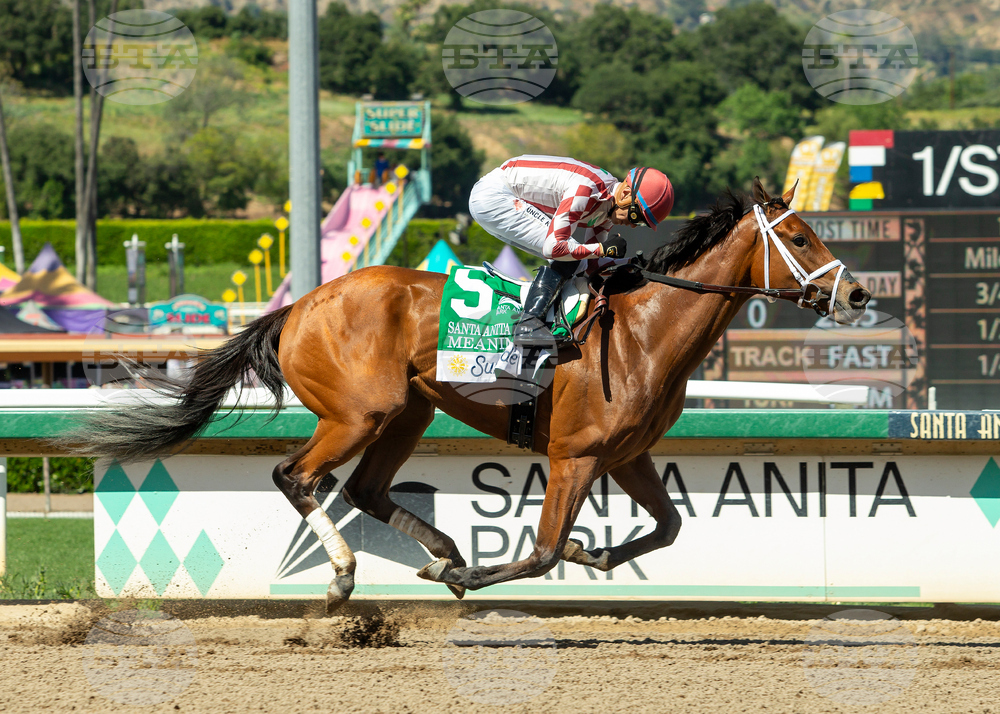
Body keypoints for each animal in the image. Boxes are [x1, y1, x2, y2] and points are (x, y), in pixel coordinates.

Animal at [66, 178, 871, 609]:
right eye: (801, 237)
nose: (858, 293)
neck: (644, 332)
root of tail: (297, 307)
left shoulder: (627, 455)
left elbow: (668, 527)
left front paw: (594, 556)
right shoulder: (575, 456)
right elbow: (541, 551)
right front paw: (491, 572)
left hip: (410, 410)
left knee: (363, 490)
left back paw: (439, 552)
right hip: (360, 411)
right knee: (296, 477)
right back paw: (349, 577)